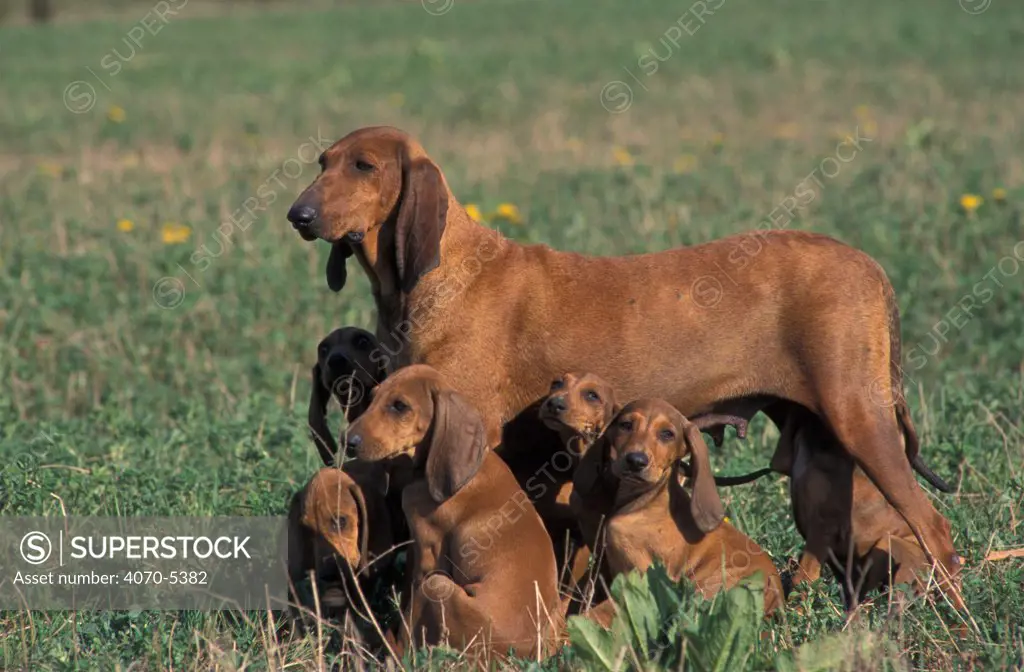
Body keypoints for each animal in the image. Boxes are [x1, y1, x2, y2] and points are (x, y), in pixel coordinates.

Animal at [344, 364, 561, 659]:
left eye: (400, 406)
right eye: (373, 396)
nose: (348, 441)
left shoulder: (427, 560)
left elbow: (409, 616)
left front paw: (398, 649)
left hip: (438, 585)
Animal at [569, 395, 782, 622]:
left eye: (667, 434)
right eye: (625, 425)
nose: (636, 461)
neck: (646, 502)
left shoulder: (642, 582)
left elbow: (596, 614)